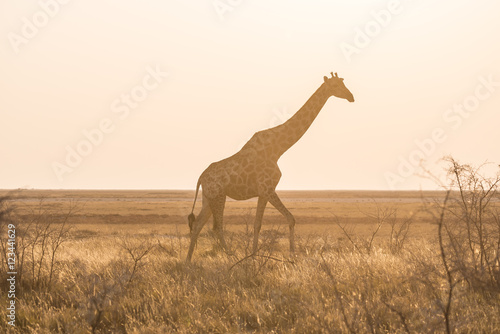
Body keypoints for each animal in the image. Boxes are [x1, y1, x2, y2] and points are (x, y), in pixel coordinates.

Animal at [186, 72, 354, 262]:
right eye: (335, 86)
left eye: (343, 83)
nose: (351, 97)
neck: (278, 148)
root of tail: (201, 177)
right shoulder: (268, 189)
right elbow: (290, 219)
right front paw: (290, 256)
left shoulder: (263, 192)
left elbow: (258, 224)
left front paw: (254, 256)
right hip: (219, 196)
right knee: (217, 227)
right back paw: (231, 257)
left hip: (208, 198)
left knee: (198, 225)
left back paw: (188, 260)